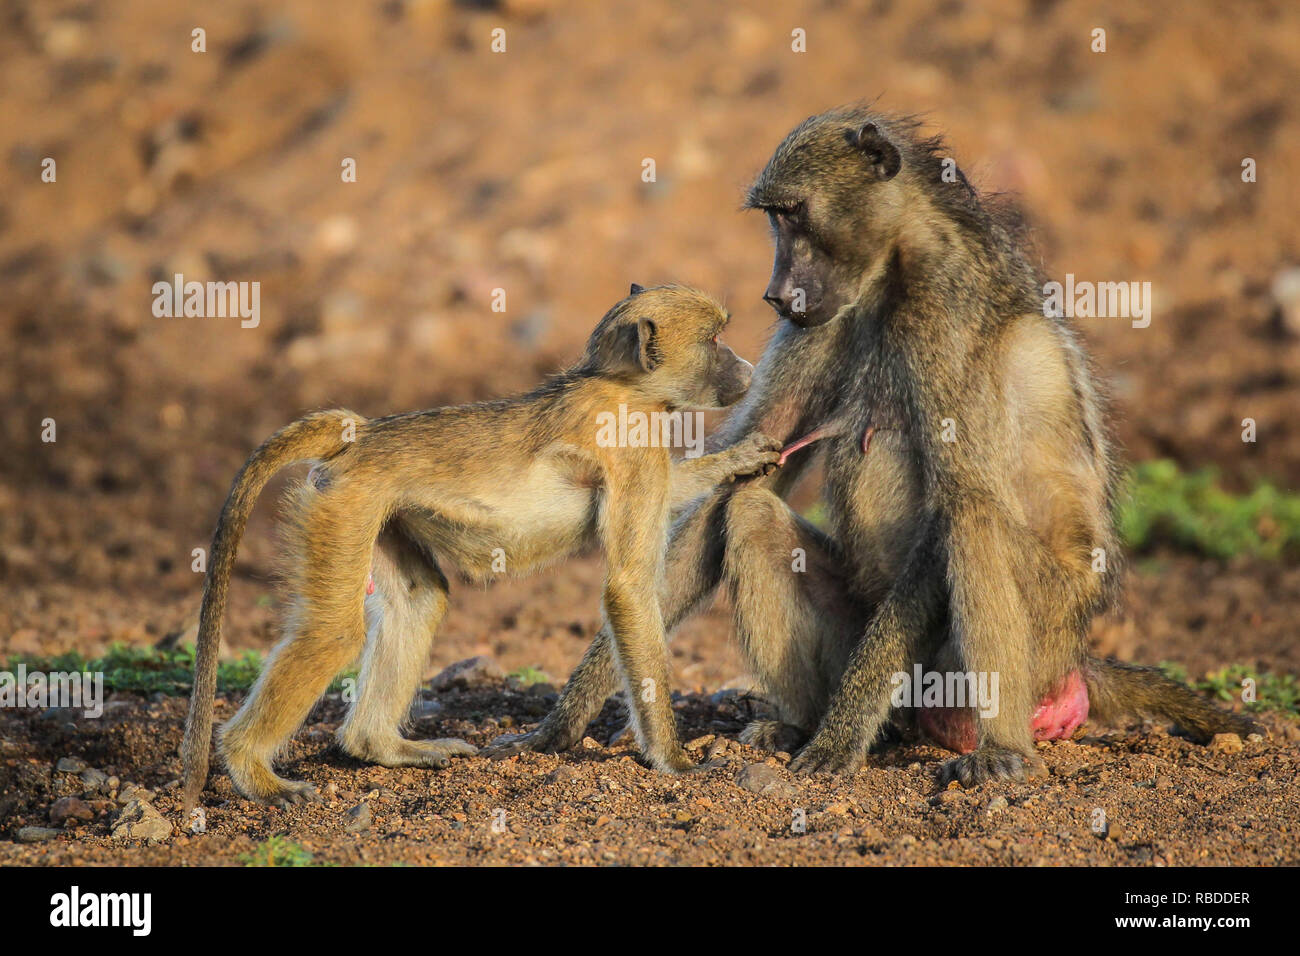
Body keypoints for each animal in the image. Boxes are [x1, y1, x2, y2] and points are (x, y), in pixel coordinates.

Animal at [180, 283, 783, 810]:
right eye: (714, 339)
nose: (747, 370)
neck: (624, 385)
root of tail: (362, 434)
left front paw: (740, 458)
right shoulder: (633, 449)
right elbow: (630, 588)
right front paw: (674, 761)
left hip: (376, 512)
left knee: (420, 599)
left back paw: (381, 748)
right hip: (343, 506)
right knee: (334, 632)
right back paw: (253, 771)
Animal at [486, 107, 1259, 786]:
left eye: (795, 214)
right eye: (773, 218)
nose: (777, 295)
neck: (898, 264)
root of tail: (1077, 657)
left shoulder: (944, 314)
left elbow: (954, 503)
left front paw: (836, 744)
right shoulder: (824, 322)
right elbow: (744, 477)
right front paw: (558, 728)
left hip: (1019, 643)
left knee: (973, 515)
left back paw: (998, 752)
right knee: (751, 516)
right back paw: (802, 725)